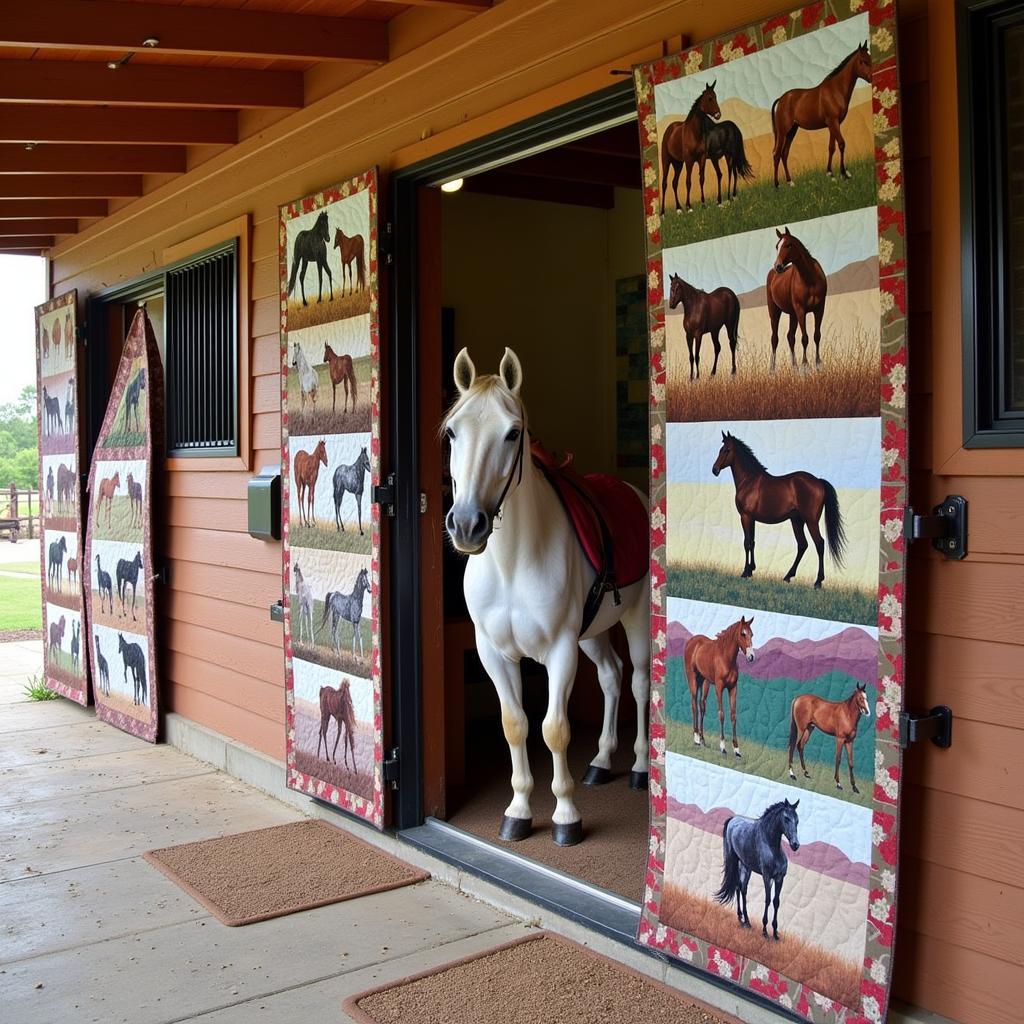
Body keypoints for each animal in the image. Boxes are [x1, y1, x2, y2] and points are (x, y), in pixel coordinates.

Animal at [444, 348, 651, 843]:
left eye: (512, 432)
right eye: (453, 432)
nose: (467, 525)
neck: (512, 562)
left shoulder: (559, 649)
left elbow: (554, 729)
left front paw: (565, 816)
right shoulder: (493, 652)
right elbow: (515, 725)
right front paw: (518, 810)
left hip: (635, 619)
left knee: (637, 680)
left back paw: (638, 767)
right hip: (591, 634)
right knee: (611, 677)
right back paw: (600, 761)